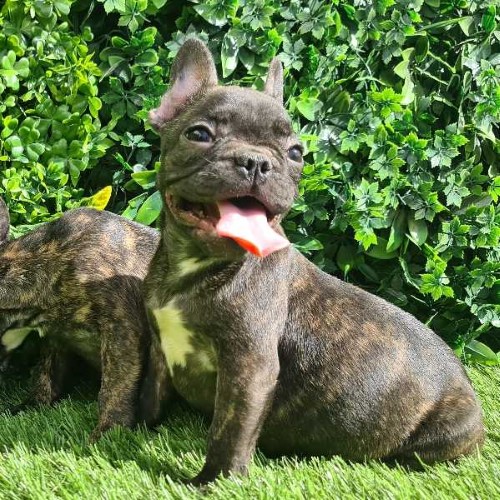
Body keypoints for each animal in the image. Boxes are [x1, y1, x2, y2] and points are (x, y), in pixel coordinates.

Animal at [0, 200, 159, 438]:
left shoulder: (123, 332)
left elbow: (114, 387)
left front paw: (107, 432)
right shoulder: (56, 337)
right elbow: (46, 375)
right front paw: (32, 404)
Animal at [139, 39, 484, 484]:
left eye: (296, 153)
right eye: (199, 134)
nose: (257, 161)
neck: (197, 266)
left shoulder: (249, 368)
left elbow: (230, 432)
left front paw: (213, 482)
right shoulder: (159, 345)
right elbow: (150, 393)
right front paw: (127, 430)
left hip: (439, 436)